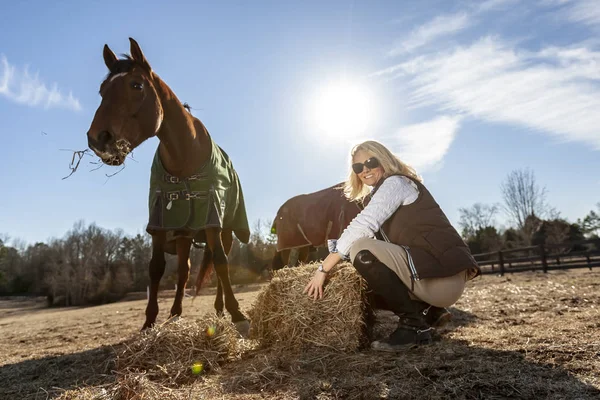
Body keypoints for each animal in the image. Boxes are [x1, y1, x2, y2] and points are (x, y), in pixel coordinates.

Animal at [86, 38, 251, 334]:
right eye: (102, 90)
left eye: (136, 85)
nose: (97, 139)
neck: (185, 155)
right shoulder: (160, 218)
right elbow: (156, 268)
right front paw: (149, 322)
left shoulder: (213, 215)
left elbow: (221, 263)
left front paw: (237, 314)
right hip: (184, 235)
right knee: (184, 270)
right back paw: (175, 313)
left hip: (227, 230)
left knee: (219, 261)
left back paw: (220, 308)